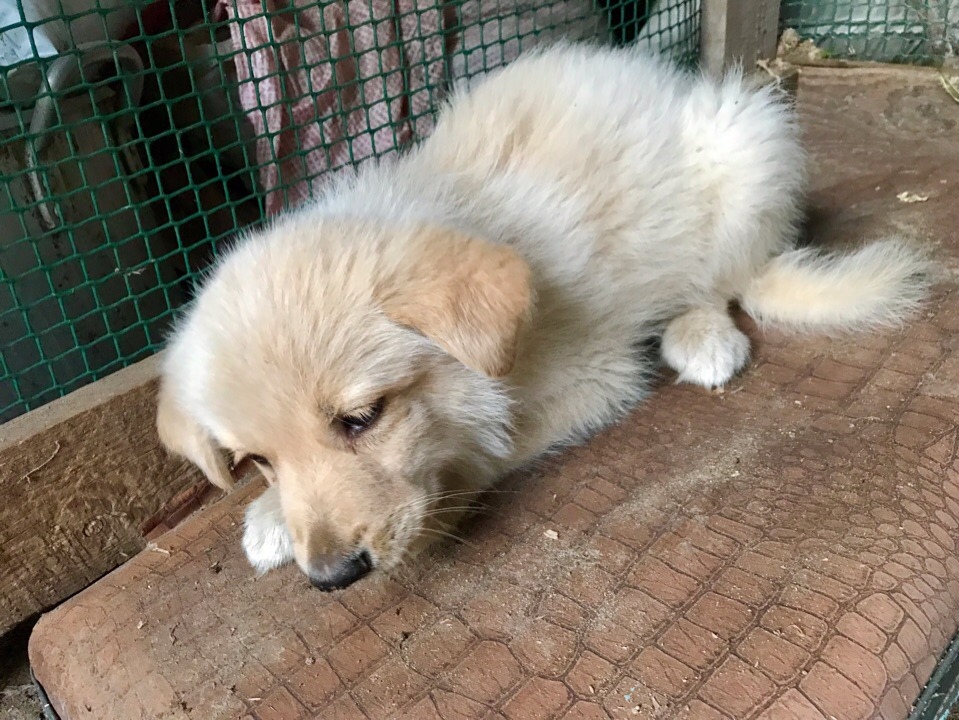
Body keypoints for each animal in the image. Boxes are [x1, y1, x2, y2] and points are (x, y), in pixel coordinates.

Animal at [158, 43, 928, 592]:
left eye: (362, 418)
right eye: (258, 460)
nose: (332, 577)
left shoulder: (595, 376)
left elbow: (487, 448)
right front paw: (269, 515)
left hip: (741, 147)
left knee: (719, 280)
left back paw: (702, 336)